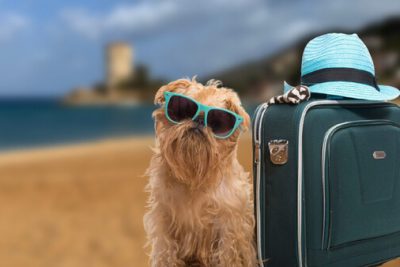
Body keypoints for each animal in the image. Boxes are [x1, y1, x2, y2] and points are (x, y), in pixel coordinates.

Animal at [144, 78, 256, 266]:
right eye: (183, 109)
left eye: (218, 121)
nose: (199, 119)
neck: (195, 176)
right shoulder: (164, 220)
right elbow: (166, 252)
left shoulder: (229, 226)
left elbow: (227, 255)